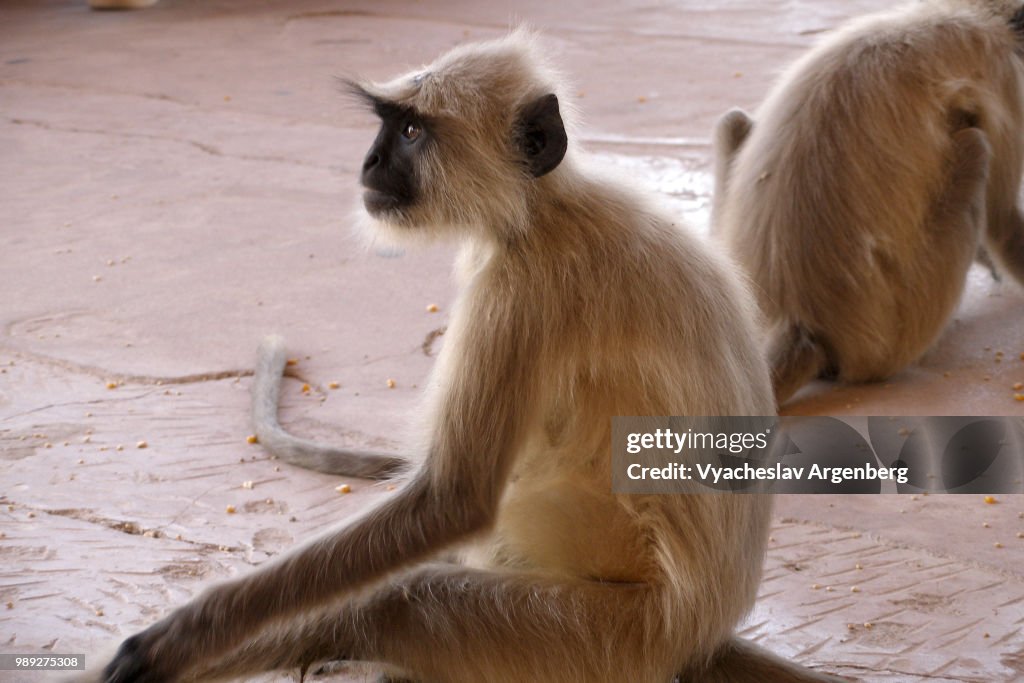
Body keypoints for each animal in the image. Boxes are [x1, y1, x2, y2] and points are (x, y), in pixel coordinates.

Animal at [81, 31, 847, 683]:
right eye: (388, 126)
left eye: (411, 132)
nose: (368, 162)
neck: (542, 208)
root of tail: (697, 634)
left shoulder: (526, 286)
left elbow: (454, 497)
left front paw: (182, 635)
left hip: (601, 635)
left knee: (396, 601)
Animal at [712, 0, 1024, 406]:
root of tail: (798, 321)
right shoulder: (1005, 75)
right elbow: (1004, 224)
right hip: (899, 335)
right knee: (975, 143)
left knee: (732, 121)